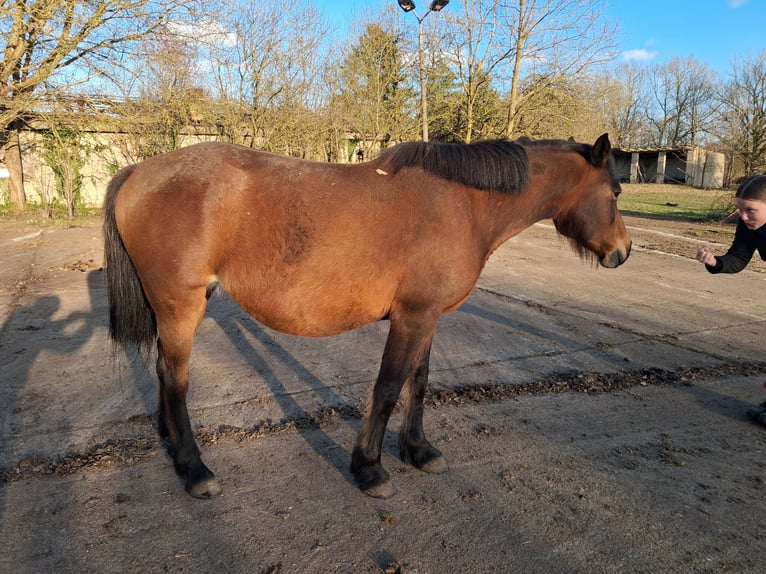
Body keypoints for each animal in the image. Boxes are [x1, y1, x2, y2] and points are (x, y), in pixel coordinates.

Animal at [103, 133, 631, 499]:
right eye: (615, 192)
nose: (623, 252)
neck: (463, 204)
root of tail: (138, 172)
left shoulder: (428, 317)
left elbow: (419, 382)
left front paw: (419, 451)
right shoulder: (412, 318)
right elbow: (389, 388)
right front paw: (370, 468)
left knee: (163, 375)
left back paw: (174, 450)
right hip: (181, 307)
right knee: (175, 381)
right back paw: (195, 470)